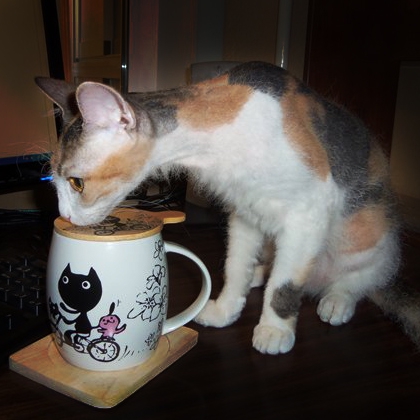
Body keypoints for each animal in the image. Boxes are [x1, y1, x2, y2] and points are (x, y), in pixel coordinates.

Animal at [36, 61, 419, 354]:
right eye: (54, 182)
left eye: (76, 183)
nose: (64, 216)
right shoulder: (244, 212)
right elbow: (234, 266)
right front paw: (225, 309)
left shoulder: (309, 211)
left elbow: (285, 286)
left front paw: (275, 329)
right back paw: (263, 274)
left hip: (366, 235)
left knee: (363, 277)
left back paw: (337, 299)